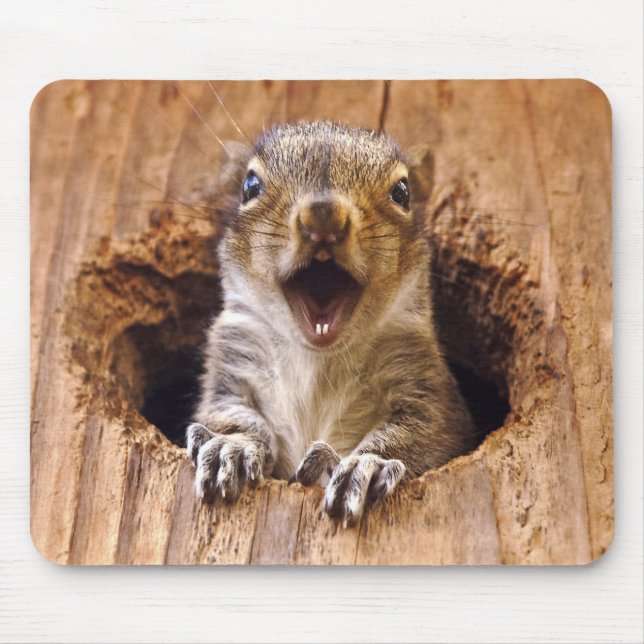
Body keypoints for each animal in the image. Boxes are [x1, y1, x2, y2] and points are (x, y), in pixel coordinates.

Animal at [186, 121, 475, 527]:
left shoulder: (423, 382)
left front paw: (367, 465)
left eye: (402, 192)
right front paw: (231, 447)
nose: (323, 215)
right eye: (250, 186)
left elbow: (423, 433)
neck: (317, 357)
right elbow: (228, 413)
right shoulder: (232, 360)